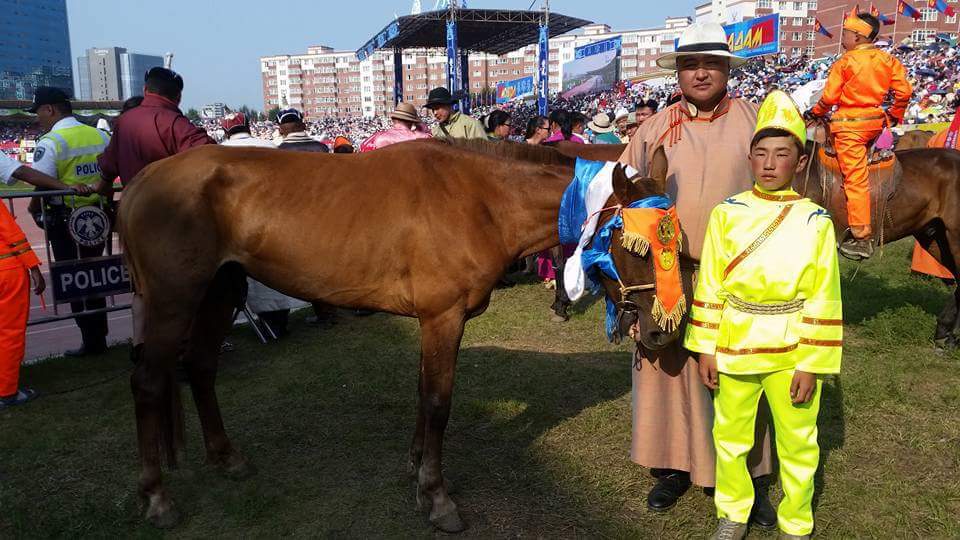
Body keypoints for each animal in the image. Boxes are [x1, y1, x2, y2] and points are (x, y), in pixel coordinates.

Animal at [118, 137, 668, 528]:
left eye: (676, 238)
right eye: (634, 245)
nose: (661, 329)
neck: (480, 199)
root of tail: (143, 179)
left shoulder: (434, 322)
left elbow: (423, 393)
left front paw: (418, 470)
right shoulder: (442, 317)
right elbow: (439, 402)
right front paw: (438, 497)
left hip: (218, 292)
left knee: (201, 367)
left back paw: (226, 458)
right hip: (173, 301)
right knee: (147, 382)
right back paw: (157, 497)